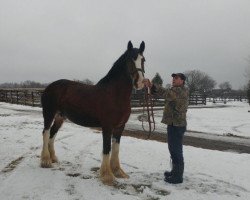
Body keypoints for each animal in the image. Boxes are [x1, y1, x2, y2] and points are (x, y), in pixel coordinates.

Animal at [40, 40, 146, 184]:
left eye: (143, 60)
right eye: (130, 60)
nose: (140, 82)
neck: (114, 94)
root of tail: (49, 87)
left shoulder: (120, 126)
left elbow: (116, 148)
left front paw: (118, 171)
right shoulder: (107, 126)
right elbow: (107, 148)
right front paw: (107, 176)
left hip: (60, 117)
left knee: (52, 133)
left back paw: (53, 158)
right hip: (49, 113)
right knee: (45, 133)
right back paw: (45, 160)